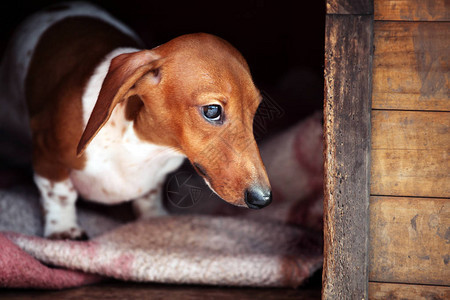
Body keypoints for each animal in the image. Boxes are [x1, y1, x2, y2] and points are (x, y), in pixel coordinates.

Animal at [0, 1, 270, 239]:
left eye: (255, 109)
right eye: (212, 110)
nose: (263, 198)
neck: (141, 145)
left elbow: (149, 194)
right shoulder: (47, 153)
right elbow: (60, 192)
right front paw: (64, 229)